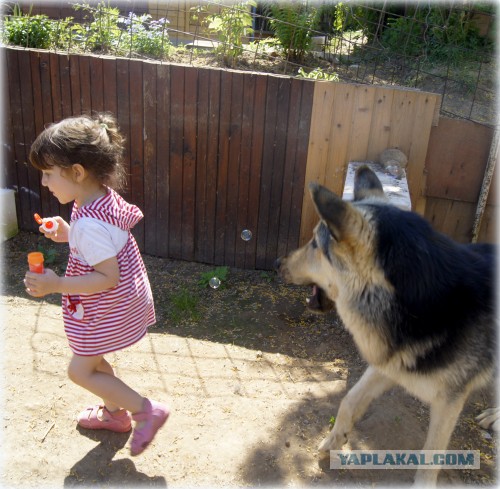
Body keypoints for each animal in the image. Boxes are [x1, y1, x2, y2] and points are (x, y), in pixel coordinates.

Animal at [278, 165, 496, 484]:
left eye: (316, 244)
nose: (277, 263)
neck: (416, 307)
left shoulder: (449, 403)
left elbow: (430, 459)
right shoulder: (389, 363)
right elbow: (348, 400)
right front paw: (334, 439)